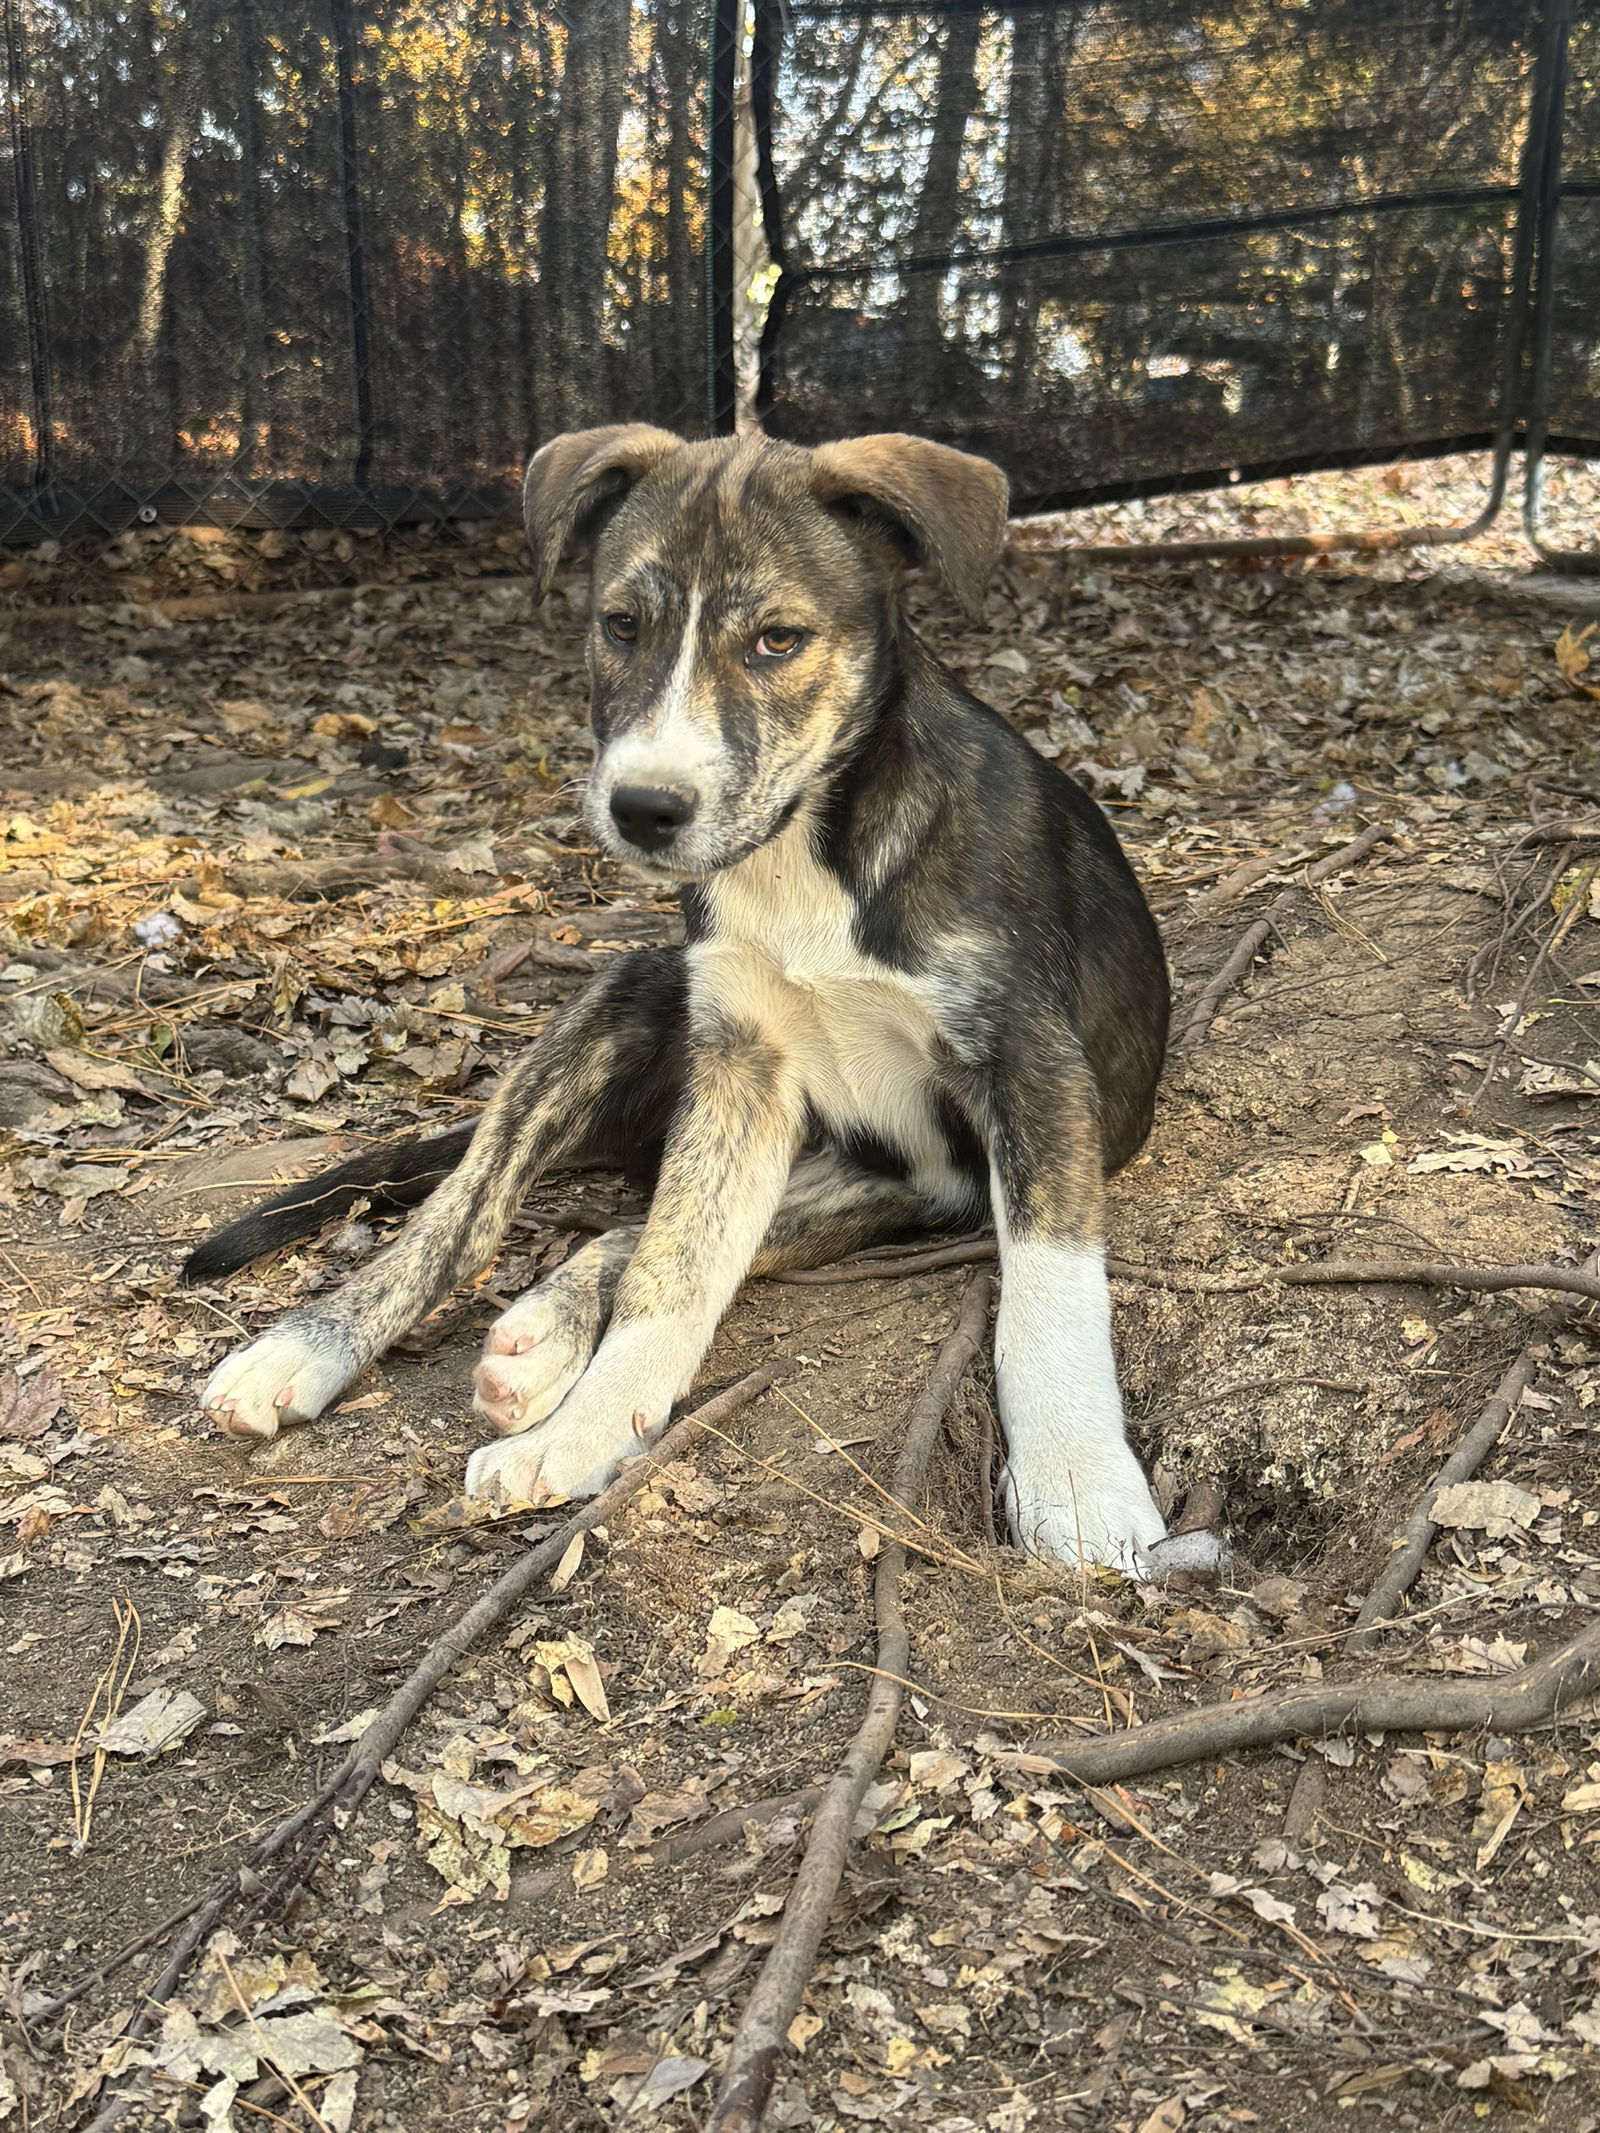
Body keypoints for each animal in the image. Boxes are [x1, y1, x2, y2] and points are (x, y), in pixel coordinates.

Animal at [190, 424, 1177, 1578]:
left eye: (779, 640)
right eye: (622, 624)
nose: (644, 809)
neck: (806, 851)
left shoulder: (1031, 1070)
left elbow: (1048, 1292)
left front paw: (1076, 1477)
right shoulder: (740, 1068)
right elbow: (674, 1269)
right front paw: (581, 1432)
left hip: (898, 1185)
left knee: (614, 1234)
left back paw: (533, 1342)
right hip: (631, 997)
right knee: (468, 1222)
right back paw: (309, 1351)